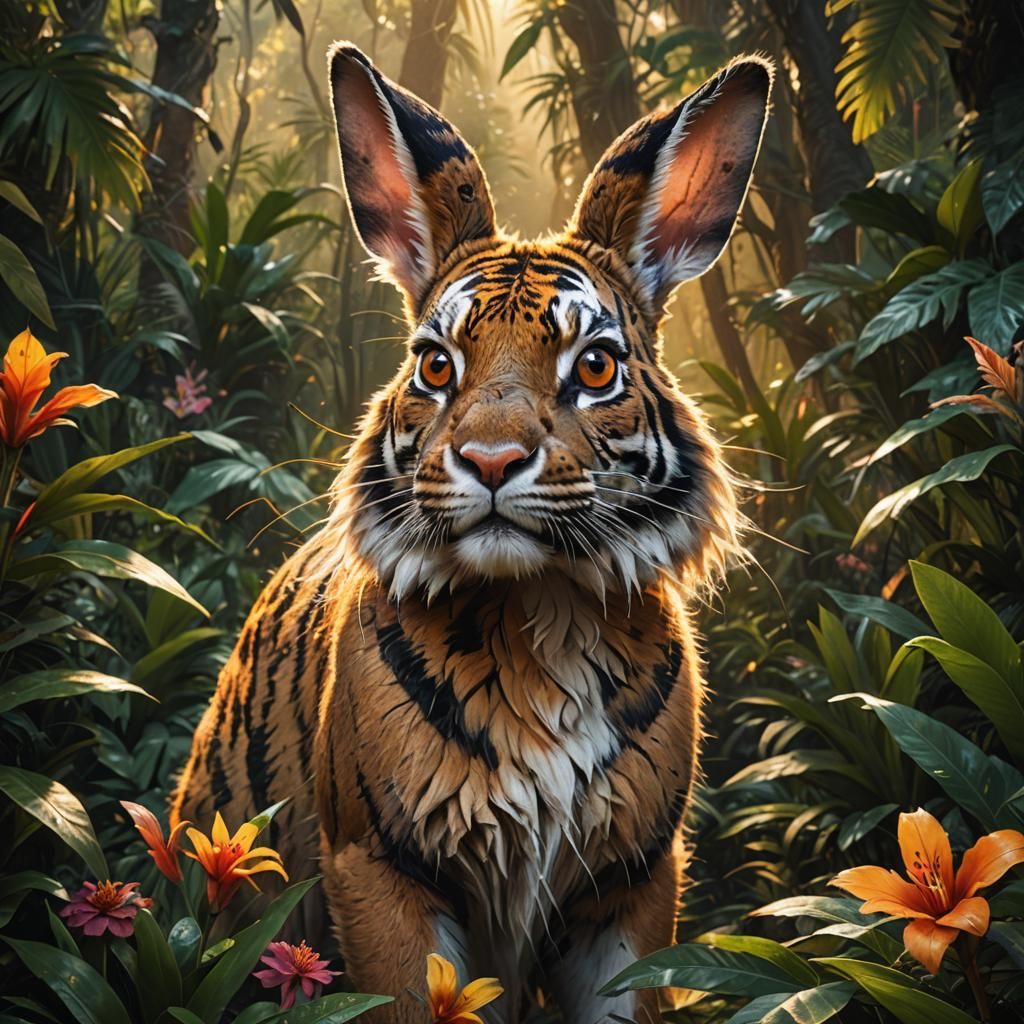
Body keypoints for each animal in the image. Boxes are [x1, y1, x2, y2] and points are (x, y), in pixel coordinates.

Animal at [172, 41, 772, 1023]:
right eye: (435, 364)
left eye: (594, 367)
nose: (491, 460)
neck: (540, 624)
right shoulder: (381, 868)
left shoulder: (633, 882)